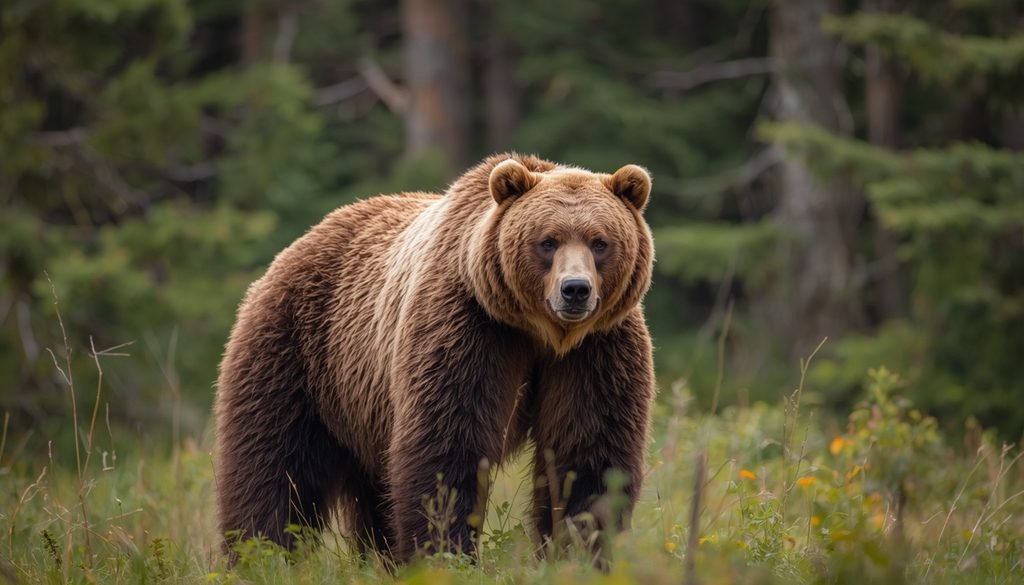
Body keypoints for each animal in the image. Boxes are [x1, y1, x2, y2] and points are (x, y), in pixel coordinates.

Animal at [214, 153, 656, 563]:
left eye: (600, 242)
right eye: (547, 241)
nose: (575, 290)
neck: (540, 332)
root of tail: (297, 244)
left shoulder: (596, 350)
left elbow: (588, 453)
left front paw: (581, 554)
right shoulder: (469, 327)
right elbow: (447, 447)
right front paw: (447, 553)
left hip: (363, 406)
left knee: (372, 497)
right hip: (299, 353)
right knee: (274, 466)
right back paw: (261, 556)